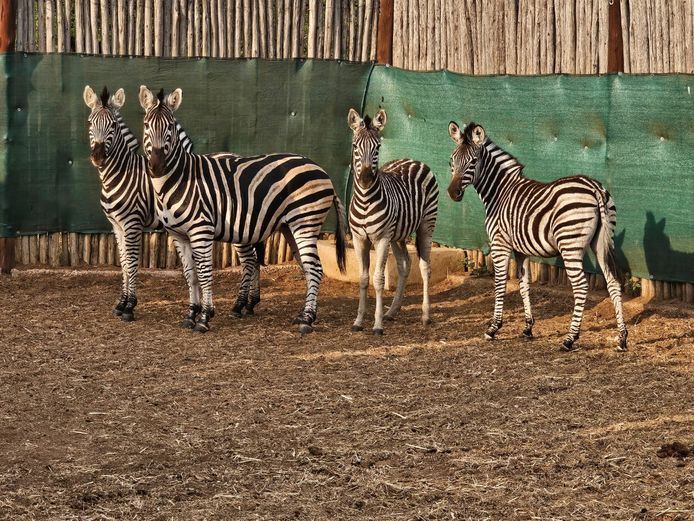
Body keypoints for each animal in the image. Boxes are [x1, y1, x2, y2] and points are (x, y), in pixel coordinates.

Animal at [83, 85, 263, 325]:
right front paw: (121, 303)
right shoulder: (116, 225)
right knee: (254, 258)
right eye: (90, 123)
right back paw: (250, 303)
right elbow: (123, 264)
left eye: (112, 125)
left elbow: (131, 263)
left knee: (249, 259)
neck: (121, 172)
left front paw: (129, 306)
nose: (98, 158)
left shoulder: (132, 223)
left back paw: (239, 305)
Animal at [138, 85, 347, 333]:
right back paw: (302, 315)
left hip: (305, 222)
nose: (157, 166)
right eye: (146, 125)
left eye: (169, 126)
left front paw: (205, 317)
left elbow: (205, 272)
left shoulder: (201, 230)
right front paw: (191, 314)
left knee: (314, 268)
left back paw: (307, 320)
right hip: (290, 227)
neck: (180, 179)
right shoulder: (178, 235)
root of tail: (323, 172)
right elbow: (191, 275)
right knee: (307, 268)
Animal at [347, 108, 439, 335]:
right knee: (404, 264)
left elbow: (378, 279)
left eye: (377, 147)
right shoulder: (359, 239)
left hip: (426, 225)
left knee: (425, 267)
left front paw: (377, 325)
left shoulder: (381, 239)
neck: (365, 201)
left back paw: (425, 315)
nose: (365, 179)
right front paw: (359, 321)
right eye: (354, 146)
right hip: (398, 234)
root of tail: (414, 159)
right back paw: (392, 311)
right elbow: (363, 279)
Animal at [446, 121, 628, 352]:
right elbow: (524, 285)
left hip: (570, 244)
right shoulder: (520, 250)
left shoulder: (499, 244)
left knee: (581, 286)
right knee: (613, 283)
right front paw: (527, 328)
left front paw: (494, 328)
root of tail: (594, 187)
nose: (453, 193)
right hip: (601, 242)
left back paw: (570, 339)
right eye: (452, 160)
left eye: (473, 161)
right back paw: (622, 338)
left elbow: (500, 284)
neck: (499, 192)